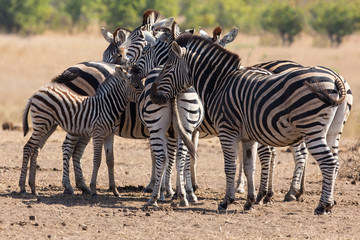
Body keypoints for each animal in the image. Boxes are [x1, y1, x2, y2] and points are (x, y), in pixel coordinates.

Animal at [19, 64, 141, 196]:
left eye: (141, 84)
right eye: (136, 86)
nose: (146, 98)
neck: (108, 106)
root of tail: (36, 93)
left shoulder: (110, 135)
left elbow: (111, 160)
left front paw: (115, 190)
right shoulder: (98, 134)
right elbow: (97, 160)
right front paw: (93, 189)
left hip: (48, 126)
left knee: (35, 149)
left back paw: (33, 187)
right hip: (41, 123)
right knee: (28, 147)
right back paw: (22, 186)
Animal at [149, 32, 352, 215]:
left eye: (167, 66)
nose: (152, 95)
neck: (219, 84)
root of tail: (335, 77)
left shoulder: (227, 130)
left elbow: (229, 166)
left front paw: (226, 201)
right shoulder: (248, 137)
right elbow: (249, 167)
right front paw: (250, 201)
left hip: (311, 128)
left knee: (328, 162)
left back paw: (321, 205)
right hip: (332, 131)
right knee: (335, 161)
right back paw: (327, 203)